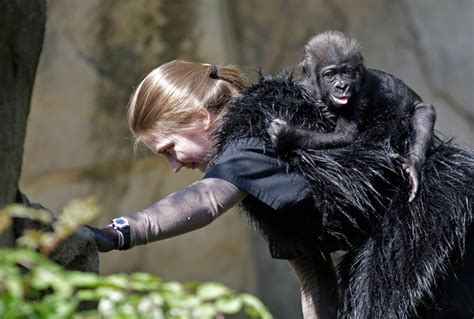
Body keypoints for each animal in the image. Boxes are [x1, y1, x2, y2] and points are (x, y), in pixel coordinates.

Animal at [268, 31, 436, 202]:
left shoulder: (361, 92)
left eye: (347, 72)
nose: (342, 86)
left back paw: (413, 166)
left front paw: (288, 135)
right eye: (330, 75)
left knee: (423, 111)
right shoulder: (304, 85)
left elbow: (346, 135)